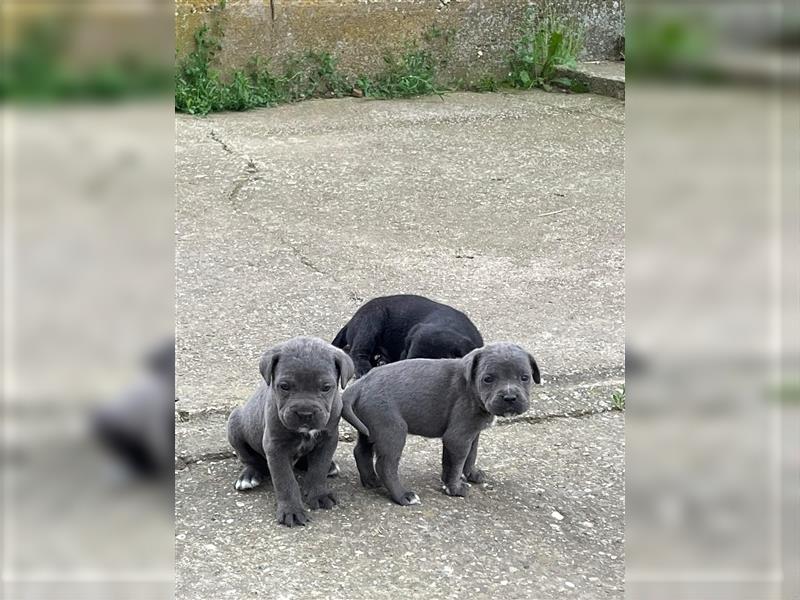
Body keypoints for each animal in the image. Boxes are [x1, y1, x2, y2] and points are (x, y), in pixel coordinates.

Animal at [228, 336, 360, 528]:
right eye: (284, 386)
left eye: (326, 387)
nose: (305, 413)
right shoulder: (275, 447)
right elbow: (285, 481)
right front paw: (292, 510)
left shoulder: (328, 439)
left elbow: (319, 468)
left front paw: (318, 494)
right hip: (234, 425)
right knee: (251, 460)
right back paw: (249, 476)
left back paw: (328, 466)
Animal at [340, 342, 540, 506]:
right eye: (488, 379)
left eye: (525, 377)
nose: (510, 398)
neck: (471, 389)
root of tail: (359, 384)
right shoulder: (458, 438)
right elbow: (458, 463)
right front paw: (455, 488)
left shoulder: (471, 434)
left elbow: (466, 457)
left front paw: (469, 476)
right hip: (392, 431)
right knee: (385, 466)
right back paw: (403, 496)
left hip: (369, 428)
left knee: (361, 451)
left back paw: (371, 481)